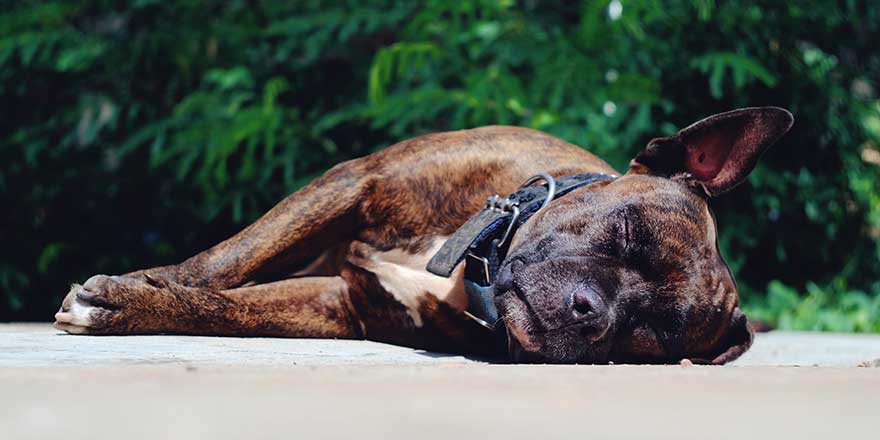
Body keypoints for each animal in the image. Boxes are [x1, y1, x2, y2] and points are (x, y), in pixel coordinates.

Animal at [56, 106, 796, 364]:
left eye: (654, 332)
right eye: (624, 232)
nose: (590, 313)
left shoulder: (338, 303)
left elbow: (231, 309)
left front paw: (134, 301)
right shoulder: (352, 181)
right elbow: (225, 262)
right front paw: (139, 290)